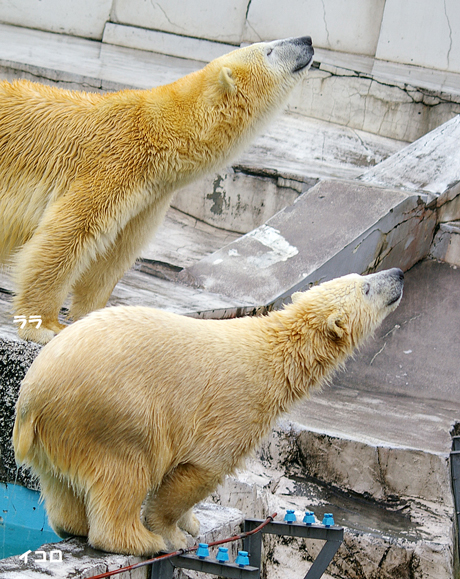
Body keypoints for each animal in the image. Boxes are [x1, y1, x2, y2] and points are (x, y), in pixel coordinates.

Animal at [0, 36, 312, 344]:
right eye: (269, 50)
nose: (307, 40)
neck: (157, 129)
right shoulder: (113, 163)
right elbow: (68, 234)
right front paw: (45, 326)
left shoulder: (151, 196)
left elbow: (116, 253)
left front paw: (94, 320)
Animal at [12, 268, 404, 556]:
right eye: (366, 287)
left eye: (360, 277)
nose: (399, 273)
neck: (278, 355)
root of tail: (33, 395)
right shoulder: (237, 405)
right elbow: (203, 467)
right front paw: (173, 533)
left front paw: (192, 523)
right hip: (113, 412)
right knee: (125, 470)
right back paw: (142, 541)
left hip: (61, 431)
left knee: (61, 483)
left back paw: (73, 524)